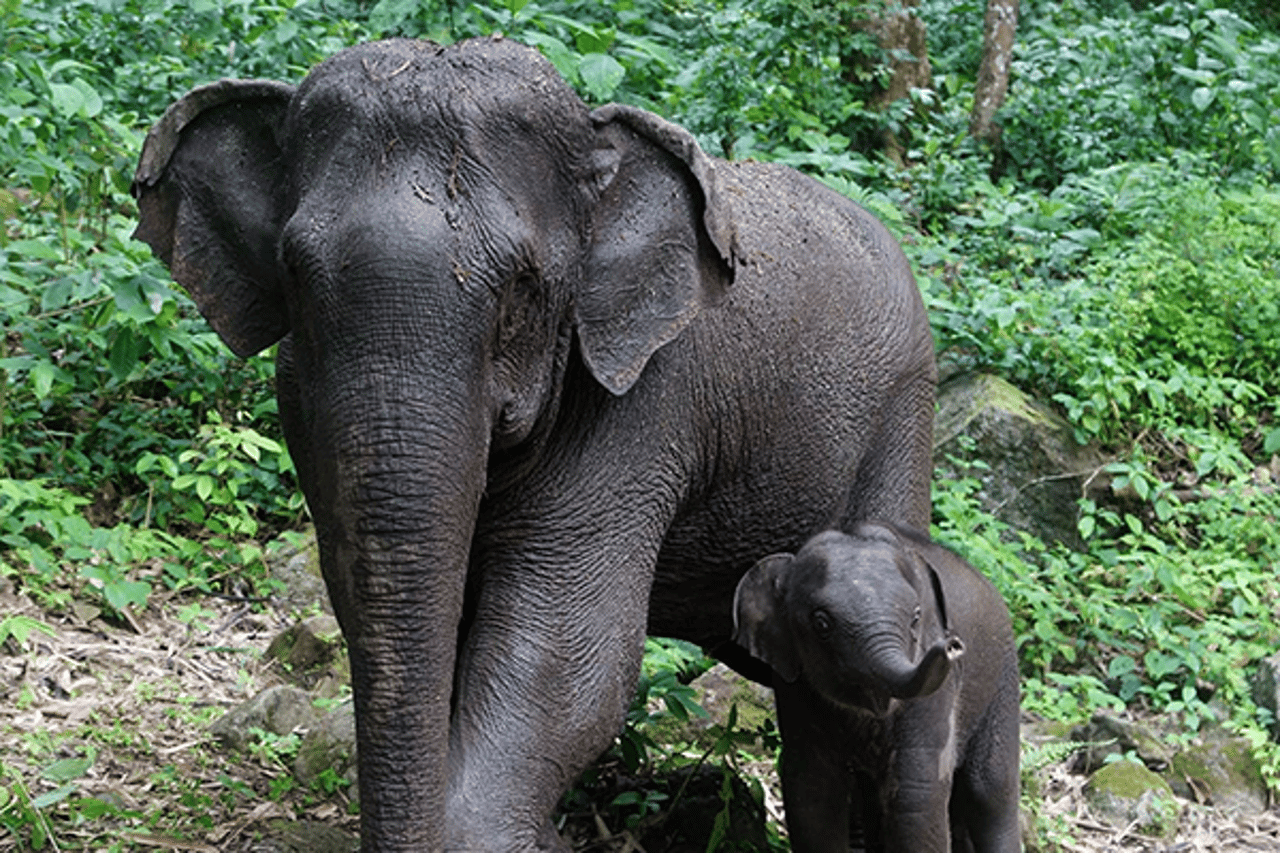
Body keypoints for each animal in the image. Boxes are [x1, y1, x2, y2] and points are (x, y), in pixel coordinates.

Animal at [135, 34, 936, 850]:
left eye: (522, 286)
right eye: (294, 273)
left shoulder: (642, 404)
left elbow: (569, 654)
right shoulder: (301, 401)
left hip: (902, 417)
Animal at [732, 522, 1018, 850]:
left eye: (916, 617)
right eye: (821, 623)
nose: (953, 646)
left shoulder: (937, 692)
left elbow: (916, 796)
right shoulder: (793, 685)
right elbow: (813, 792)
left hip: (1003, 679)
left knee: (990, 790)